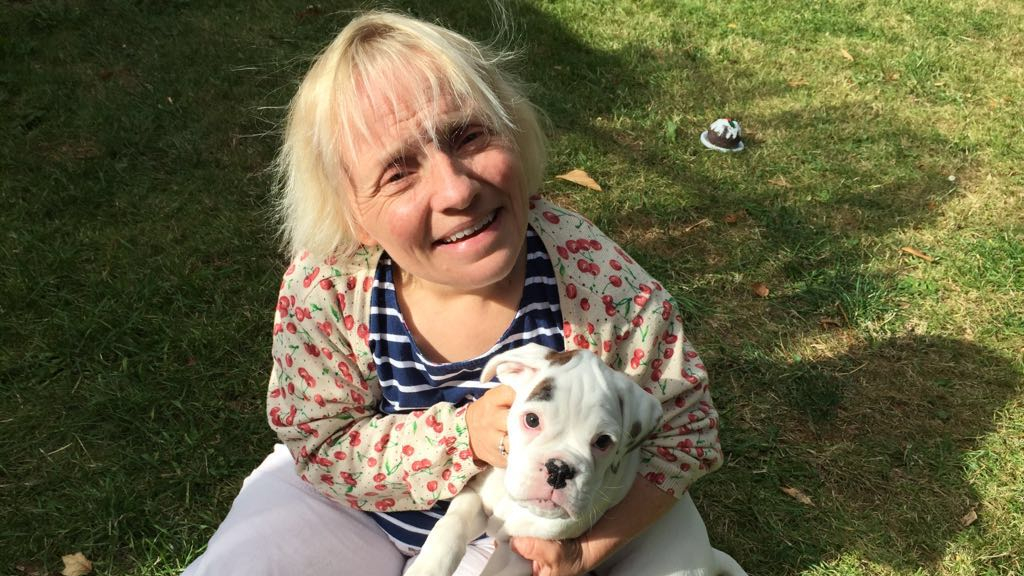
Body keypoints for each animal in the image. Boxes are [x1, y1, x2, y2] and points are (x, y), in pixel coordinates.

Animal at [403, 342, 749, 573]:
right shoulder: (474, 498)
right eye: (532, 420)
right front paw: (427, 567)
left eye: (603, 442)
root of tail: (708, 555)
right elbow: (448, 530)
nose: (559, 470)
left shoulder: (524, 554)